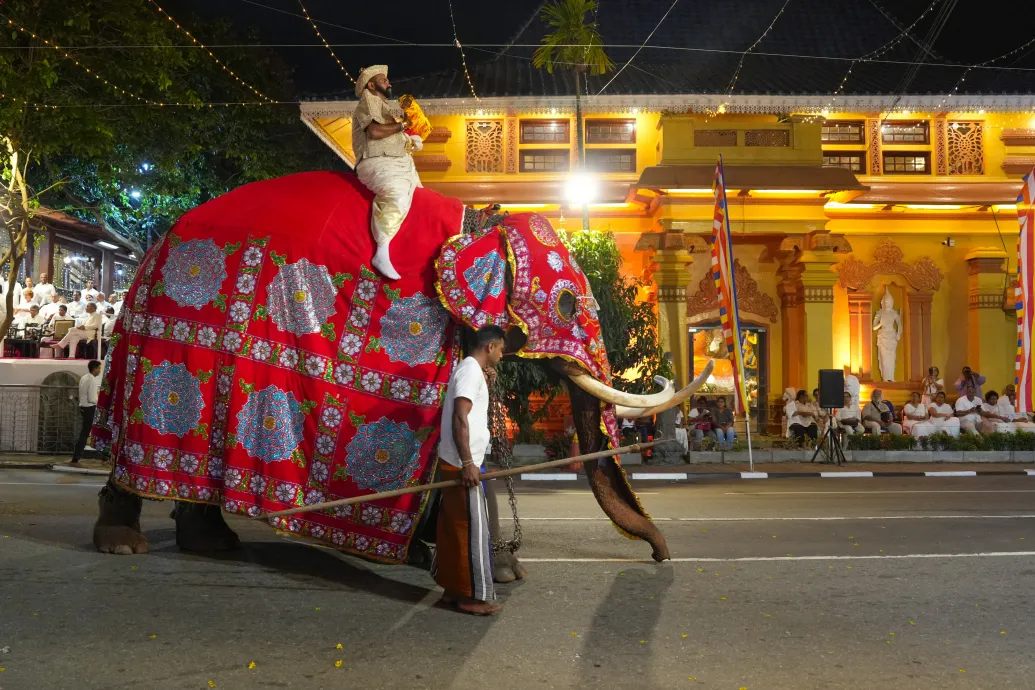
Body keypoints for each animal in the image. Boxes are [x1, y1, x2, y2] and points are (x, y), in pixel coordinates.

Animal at [93, 171, 707, 579]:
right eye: (565, 306)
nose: (661, 557)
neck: (481, 223)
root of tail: (151, 252)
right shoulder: (425, 340)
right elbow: (451, 443)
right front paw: (483, 565)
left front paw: (437, 555)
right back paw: (124, 543)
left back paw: (212, 543)